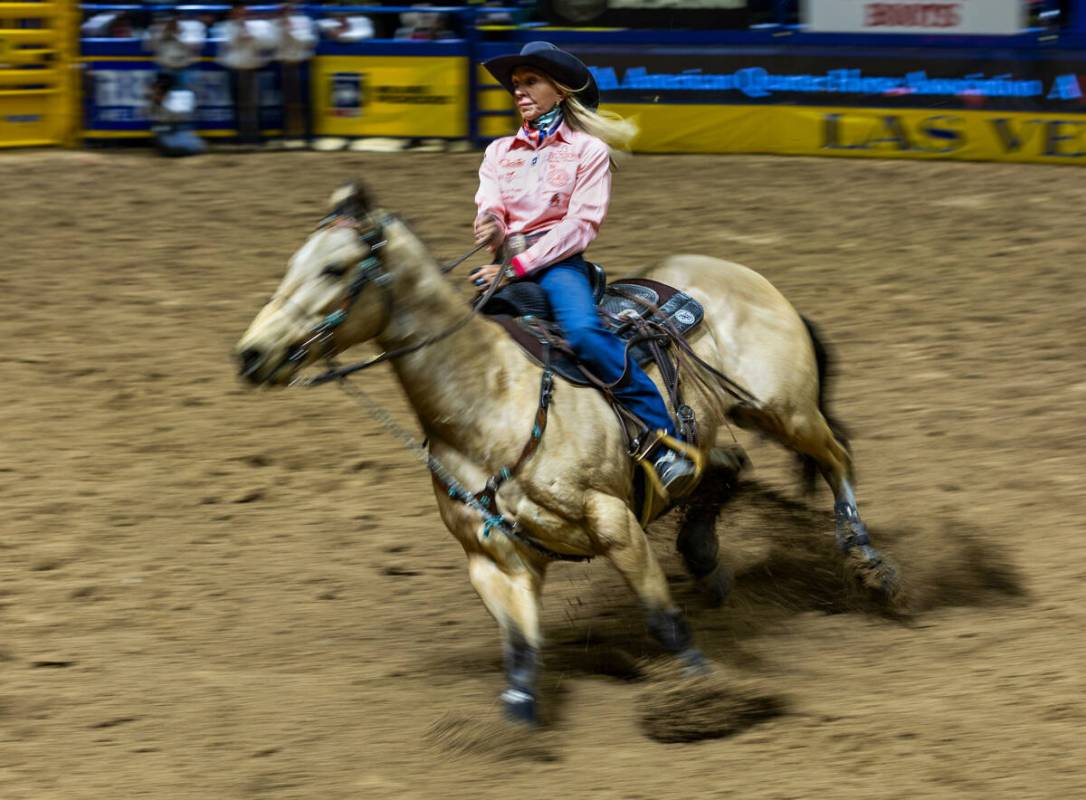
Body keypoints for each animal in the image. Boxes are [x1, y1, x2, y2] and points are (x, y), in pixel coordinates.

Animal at [233, 185, 894, 725]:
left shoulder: (614, 520)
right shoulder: (494, 559)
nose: (251, 353)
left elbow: (661, 617)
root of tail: (746, 276)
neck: (490, 397)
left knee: (836, 459)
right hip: (717, 431)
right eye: (293, 264)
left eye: (335, 267)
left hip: (783, 409)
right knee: (728, 469)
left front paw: (706, 694)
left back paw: (869, 563)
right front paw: (512, 728)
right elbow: (522, 656)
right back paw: (705, 558)